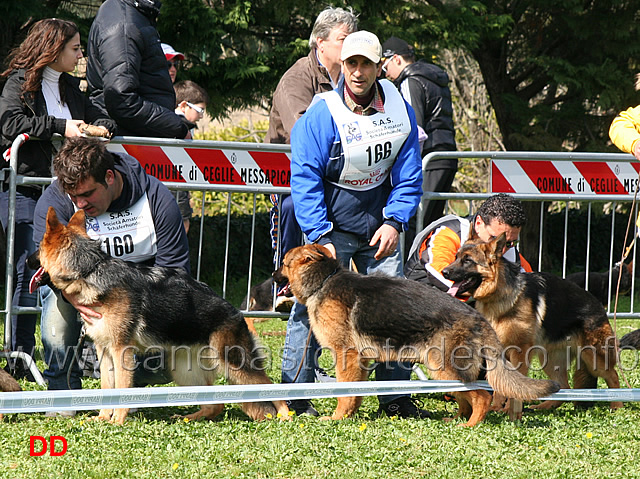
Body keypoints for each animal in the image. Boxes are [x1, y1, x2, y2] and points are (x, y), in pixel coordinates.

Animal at [28, 208, 288, 426]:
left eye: (38, 247)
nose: (27, 260)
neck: (90, 269)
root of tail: (236, 312)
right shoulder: (105, 352)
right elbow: (106, 386)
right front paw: (103, 418)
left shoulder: (121, 353)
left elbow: (121, 388)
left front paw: (117, 421)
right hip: (184, 370)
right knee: (215, 404)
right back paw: (189, 418)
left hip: (234, 364)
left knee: (270, 386)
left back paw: (287, 417)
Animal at [272, 246, 556, 426]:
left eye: (283, 263)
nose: (272, 277)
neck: (323, 281)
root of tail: (479, 319)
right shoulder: (360, 362)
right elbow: (355, 394)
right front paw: (348, 416)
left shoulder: (347, 357)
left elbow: (345, 393)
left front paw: (337, 418)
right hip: (442, 372)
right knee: (466, 399)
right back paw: (456, 419)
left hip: (445, 369)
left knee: (482, 396)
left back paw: (470, 425)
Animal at [442, 234, 624, 410]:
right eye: (456, 257)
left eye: (467, 260)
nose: (444, 272)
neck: (499, 294)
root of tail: (599, 305)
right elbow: (502, 382)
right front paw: (497, 407)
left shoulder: (520, 351)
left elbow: (514, 383)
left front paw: (510, 409)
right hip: (550, 360)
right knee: (563, 387)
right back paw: (543, 406)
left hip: (593, 357)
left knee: (613, 376)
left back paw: (617, 405)